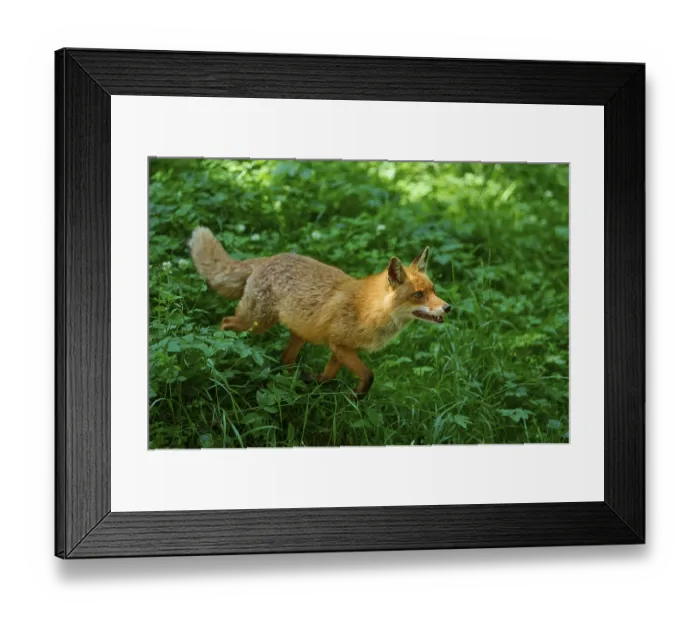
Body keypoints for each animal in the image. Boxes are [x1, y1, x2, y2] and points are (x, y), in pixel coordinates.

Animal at [188, 226, 451, 398]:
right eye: (418, 295)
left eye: (433, 290)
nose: (448, 307)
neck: (369, 309)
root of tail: (268, 258)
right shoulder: (340, 345)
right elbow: (369, 375)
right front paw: (357, 395)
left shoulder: (342, 348)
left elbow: (330, 376)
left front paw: (320, 383)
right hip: (256, 322)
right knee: (225, 322)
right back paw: (221, 352)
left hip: (297, 333)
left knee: (285, 359)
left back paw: (292, 380)